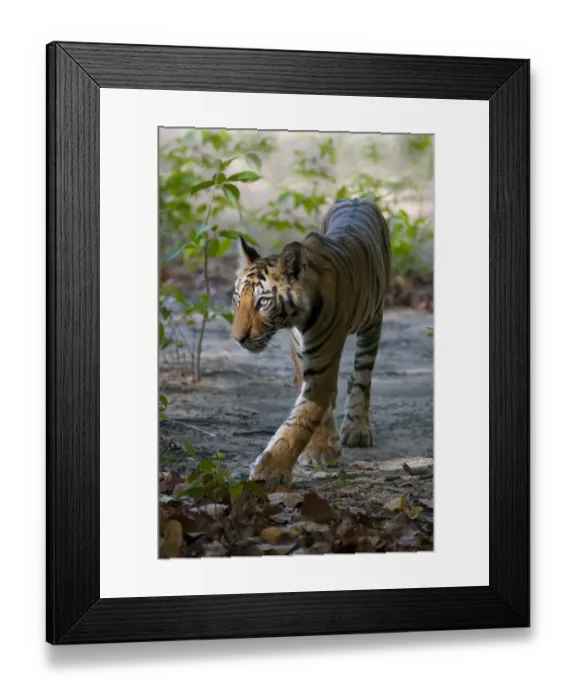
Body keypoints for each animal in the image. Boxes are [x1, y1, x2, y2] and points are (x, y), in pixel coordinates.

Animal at [230, 198, 392, 490]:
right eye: (238, 299)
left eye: (263, 302)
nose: (238, 338)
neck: (295, 320)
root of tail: (356, 198)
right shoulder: (301, 354)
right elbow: (319, 410)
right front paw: (321, 450)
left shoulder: (322, 363)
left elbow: (301, 420)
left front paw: (270, 471)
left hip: (373, 321)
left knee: (361, 376)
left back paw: (358, 428)